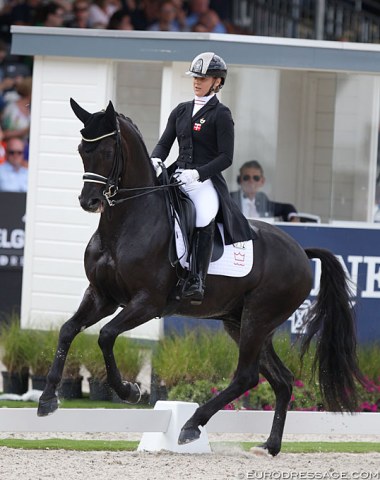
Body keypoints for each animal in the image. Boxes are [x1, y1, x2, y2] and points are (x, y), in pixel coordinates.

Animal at [37, 99, 366, 456]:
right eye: (82, 149)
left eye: (109, 150)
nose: (90, 201)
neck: (125, 224)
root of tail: (301, 252)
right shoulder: (101, 295)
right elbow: (68, 331)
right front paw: (47, 399)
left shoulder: (148, 303)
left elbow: (107, 335)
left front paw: (129, 391)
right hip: (241, 322)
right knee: (282, 380)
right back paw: (268, 446)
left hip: (258, 318)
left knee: (247, 377)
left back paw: (192, 425)